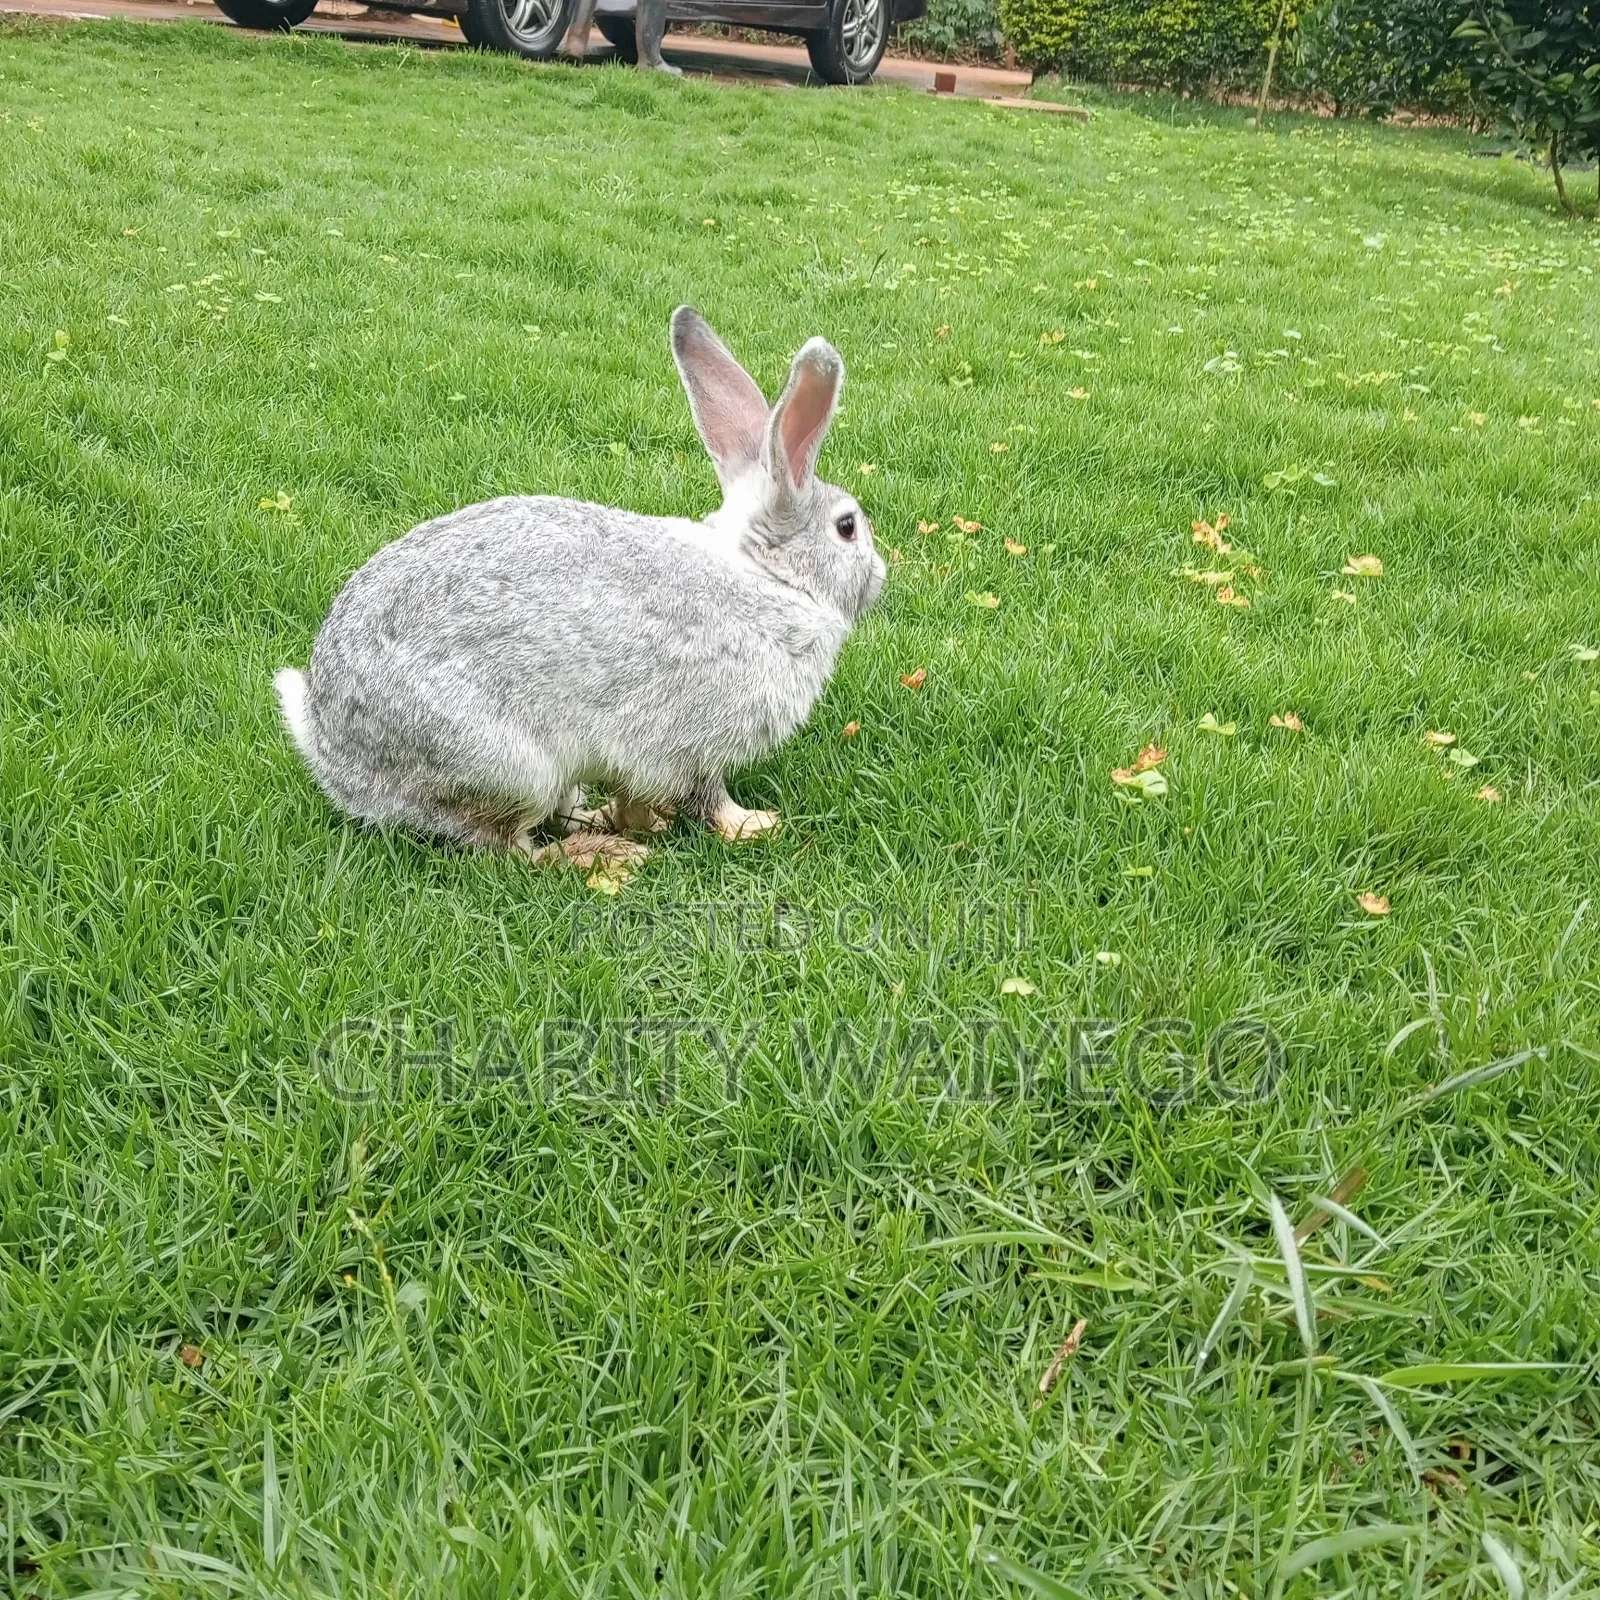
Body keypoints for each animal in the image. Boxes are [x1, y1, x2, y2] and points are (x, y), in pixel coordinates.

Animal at [274, 306, 886, 870]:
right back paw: (603, 855)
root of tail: (327, 745)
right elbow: (707, 797)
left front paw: (647, 821)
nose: (880, 576)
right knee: (512, 850)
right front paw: (755, 825)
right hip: (509, 768)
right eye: (847, 527)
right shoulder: (691, 742)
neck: (769, 578)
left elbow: (640, 795)